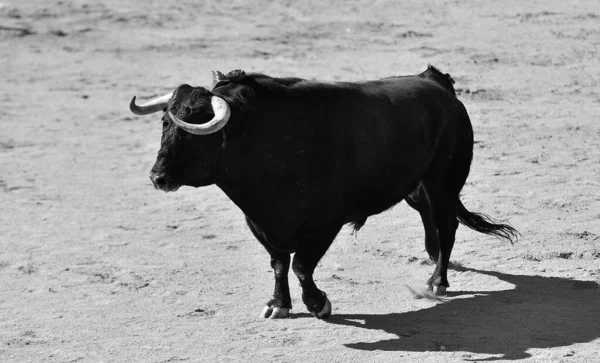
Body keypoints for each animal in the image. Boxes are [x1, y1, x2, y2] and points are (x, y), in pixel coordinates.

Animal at [129, 67, 516, 320]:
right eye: (164, 123)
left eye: (193, 130)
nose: (157, 177)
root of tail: (437, 85)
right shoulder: (260, 221)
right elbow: (278, 263)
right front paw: (278, 305)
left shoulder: (324, 224)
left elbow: (301, 265)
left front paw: (318, 304)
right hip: (416, 186)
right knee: (429, 219)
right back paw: (433, 258)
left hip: (442, 181)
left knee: (447, 224)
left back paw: (437, 281)